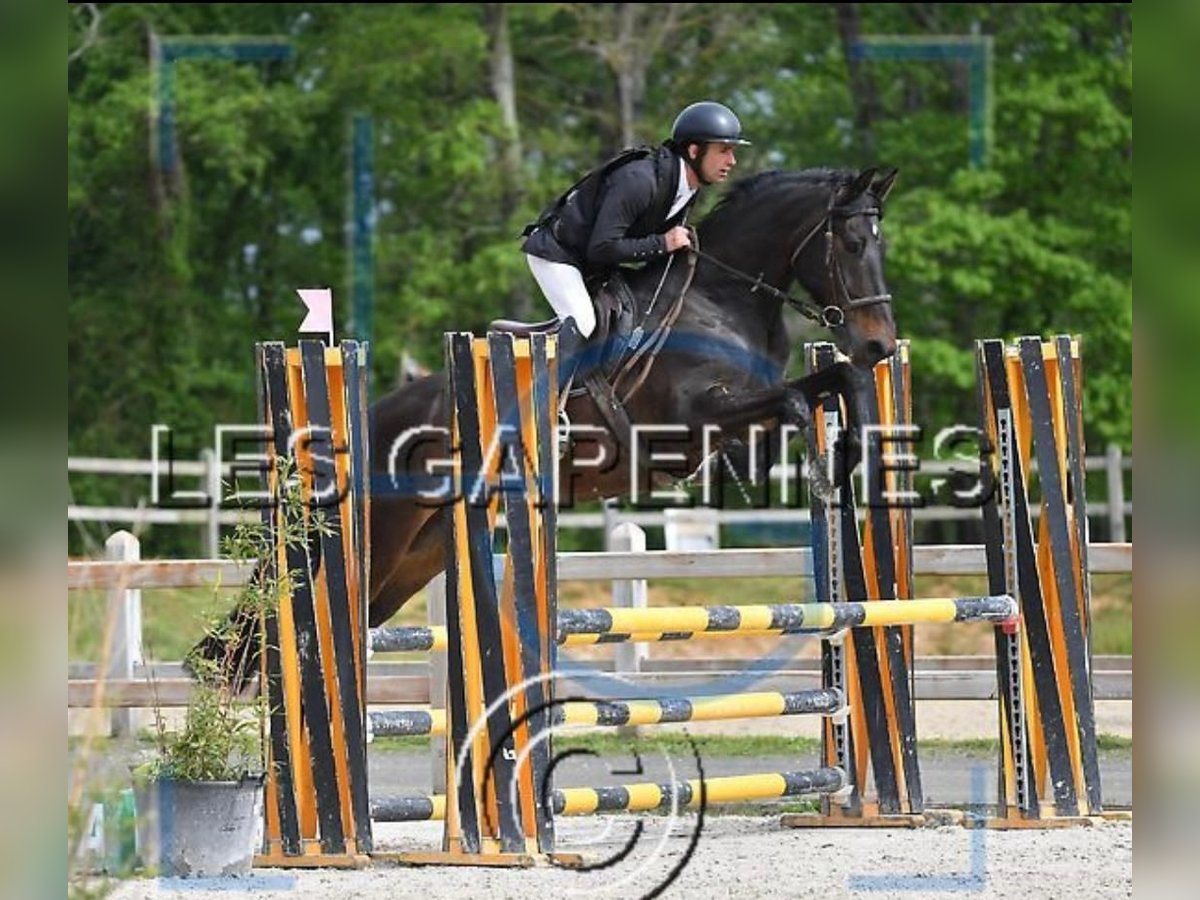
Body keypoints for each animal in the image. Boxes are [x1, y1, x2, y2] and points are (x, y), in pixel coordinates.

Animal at [189, 164, 902, 681]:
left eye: (880, 245)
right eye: (853, 244)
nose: (880, 345)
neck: (720, 301)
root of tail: (362, 423)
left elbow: (834, 384)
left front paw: (855, 458)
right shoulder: (688, 426)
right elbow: (788, 405)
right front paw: (803, 469)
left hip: (418, 555)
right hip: (379, 535)